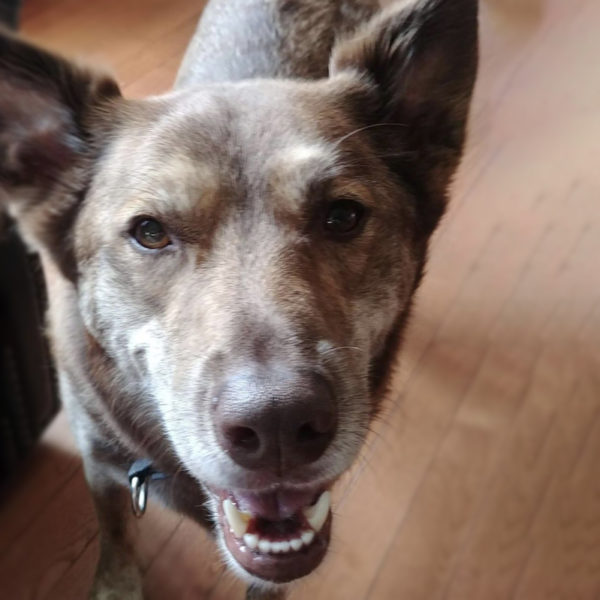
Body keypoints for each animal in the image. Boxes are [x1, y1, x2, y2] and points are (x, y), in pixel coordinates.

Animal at [0, 0, 478, 597]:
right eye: (149, 232)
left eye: (343, 216)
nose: (278, 425)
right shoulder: (99, 458)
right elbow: (114, 531)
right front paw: (116, 583)